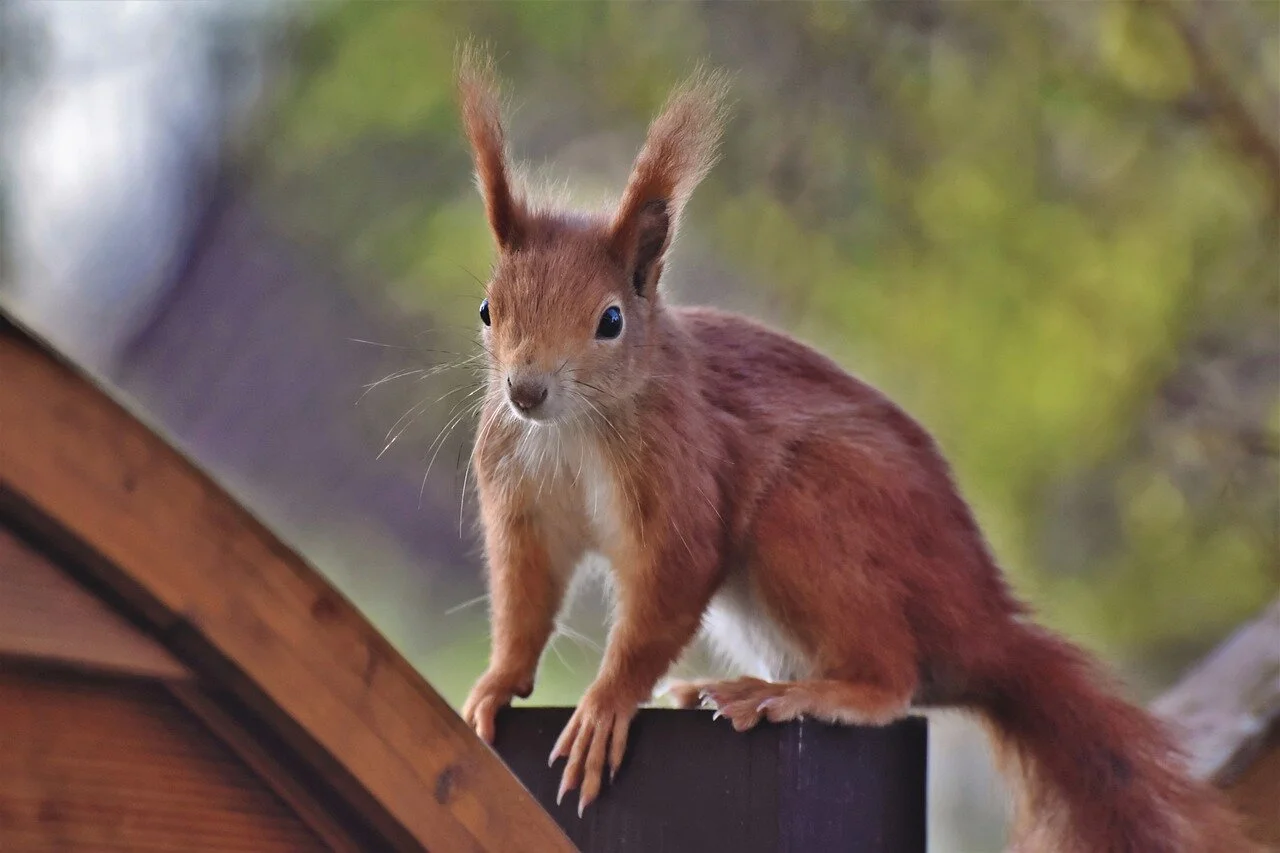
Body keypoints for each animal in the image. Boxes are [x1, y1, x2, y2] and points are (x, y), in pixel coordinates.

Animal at [455, 47, 1259, 853]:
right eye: (488, 310)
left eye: (612, 321)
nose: (526, 391)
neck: (574, 430)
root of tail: (979, 630)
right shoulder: (521, 500)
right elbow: (525, 596)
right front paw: (495, 683)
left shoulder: (684, 470)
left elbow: (666, 592)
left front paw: (605, 705)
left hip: (812, 512)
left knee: (890, 683)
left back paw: (796, 694)